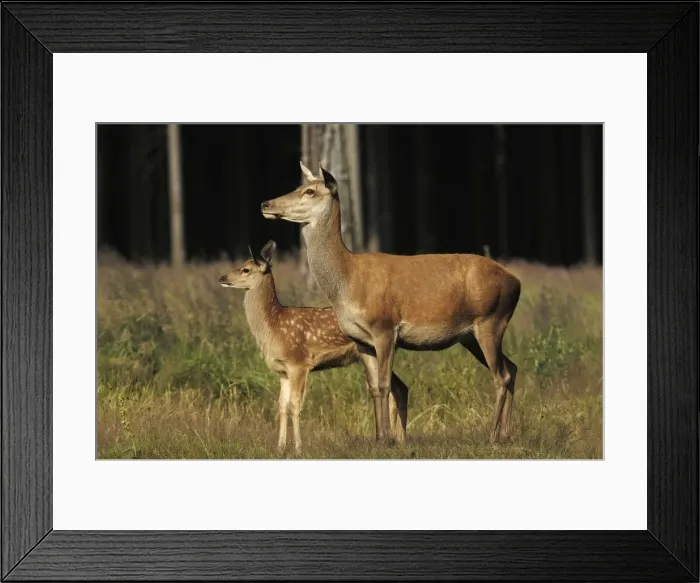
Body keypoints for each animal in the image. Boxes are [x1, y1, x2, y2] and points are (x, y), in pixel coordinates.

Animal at [218, 240, 410, 453]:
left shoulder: (298, 363)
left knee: (394, 388)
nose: (222, 277)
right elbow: (282, 405)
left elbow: (295, 404)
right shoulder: (283, 370)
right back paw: (399, 440)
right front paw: (280, 448)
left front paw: (298, 448)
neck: (273, 326)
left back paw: (396, 439)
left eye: (245, 269)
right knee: (400, 388)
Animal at [261, 163, 521, 445]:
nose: (266, 203)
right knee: (512, 367)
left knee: (501, 376)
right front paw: (379, 438)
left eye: (309, 191)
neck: (347, 280)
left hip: (491, 320)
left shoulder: (384, 327)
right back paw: (506, 434)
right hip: (470, 335)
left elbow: (385, 384)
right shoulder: (361, 339)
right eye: (299, 186)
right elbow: (373, 387)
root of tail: (515, 282)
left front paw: (386, 440)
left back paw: (492, 436)